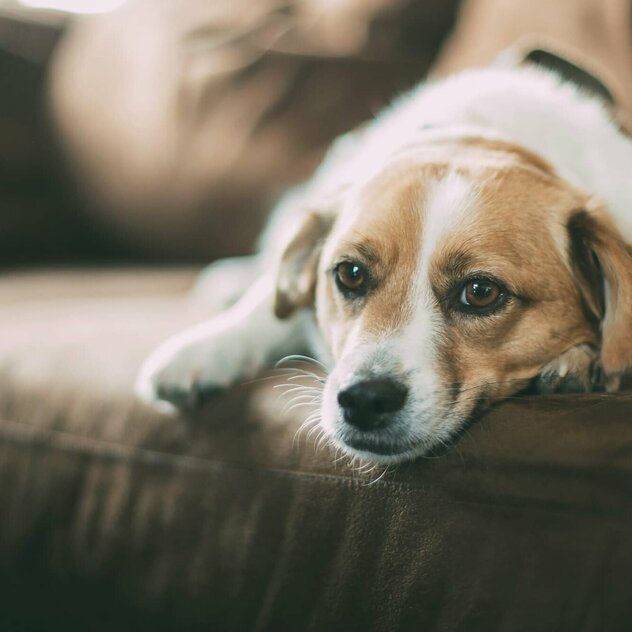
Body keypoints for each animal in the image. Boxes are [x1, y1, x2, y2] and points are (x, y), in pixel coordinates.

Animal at [136, 49, 632, 462]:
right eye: (350, 274)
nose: (364, 400)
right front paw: (204, 350)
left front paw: (578, 360)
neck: (489, 137)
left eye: (480, 292)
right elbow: (265, 307)